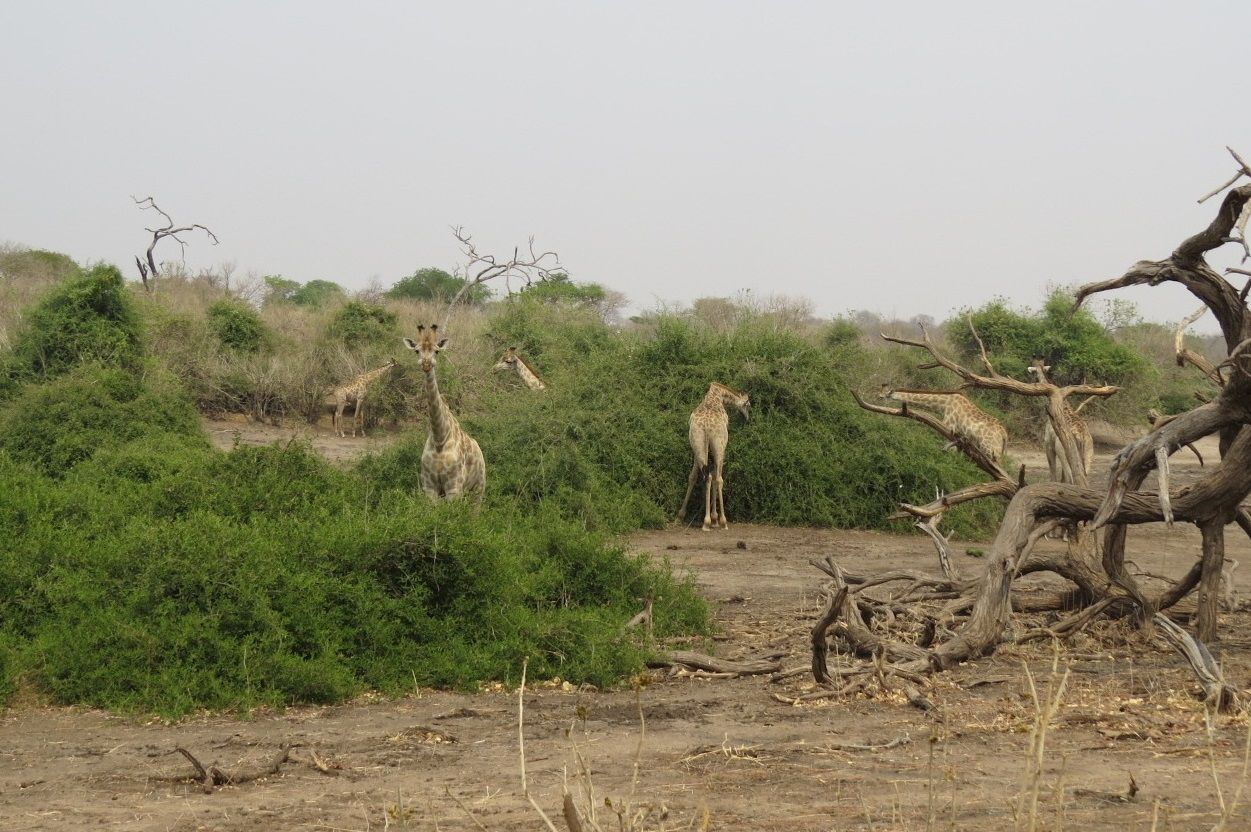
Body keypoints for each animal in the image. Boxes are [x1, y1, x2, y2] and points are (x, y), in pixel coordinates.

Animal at [407, 325, 490, 502]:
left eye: (436, 351)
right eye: (417, 351)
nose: (426, 364)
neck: (439, 439)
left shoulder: (454, 487)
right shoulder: (429, 486)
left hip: (478, 488)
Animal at [675, 382, 750, 532]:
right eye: (747, 405)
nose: (747, 419)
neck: (717, 396)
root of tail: (706, 427)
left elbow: (695, 477)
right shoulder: (720, 447)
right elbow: (716, 477)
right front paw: (716, 519)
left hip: (698, 444)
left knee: (705, 476)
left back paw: (700, 521)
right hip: (719, 445)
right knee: (718, 478)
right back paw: (721, 521)